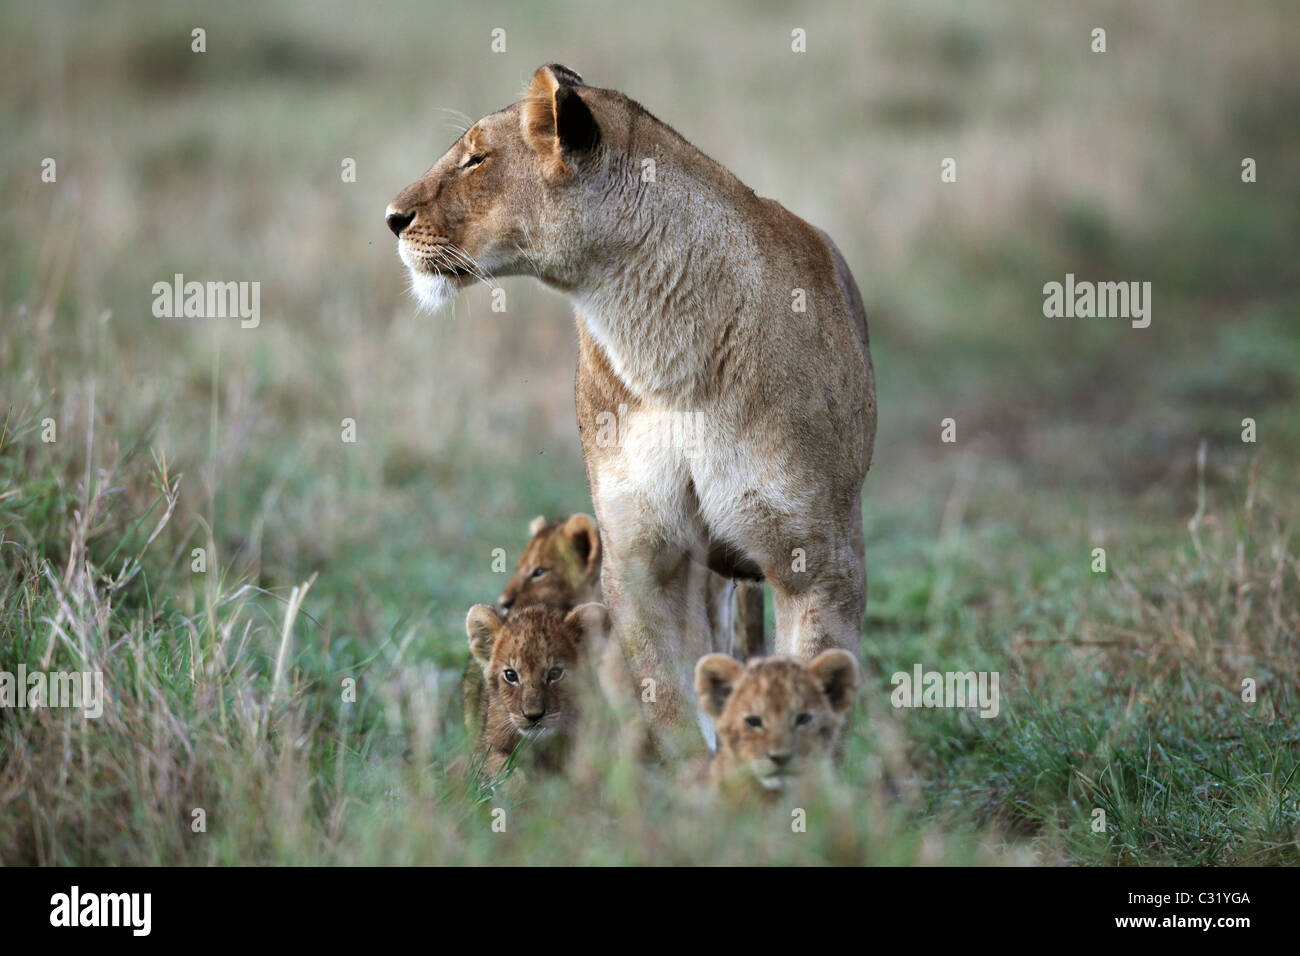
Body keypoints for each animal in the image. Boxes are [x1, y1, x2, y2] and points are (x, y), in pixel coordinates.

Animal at [388, 64, 874, 744]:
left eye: (477, 158)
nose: (390, 218)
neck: (661, 348)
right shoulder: (644, 562)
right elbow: (673, 709)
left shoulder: (820, 565)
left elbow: (810, 700)